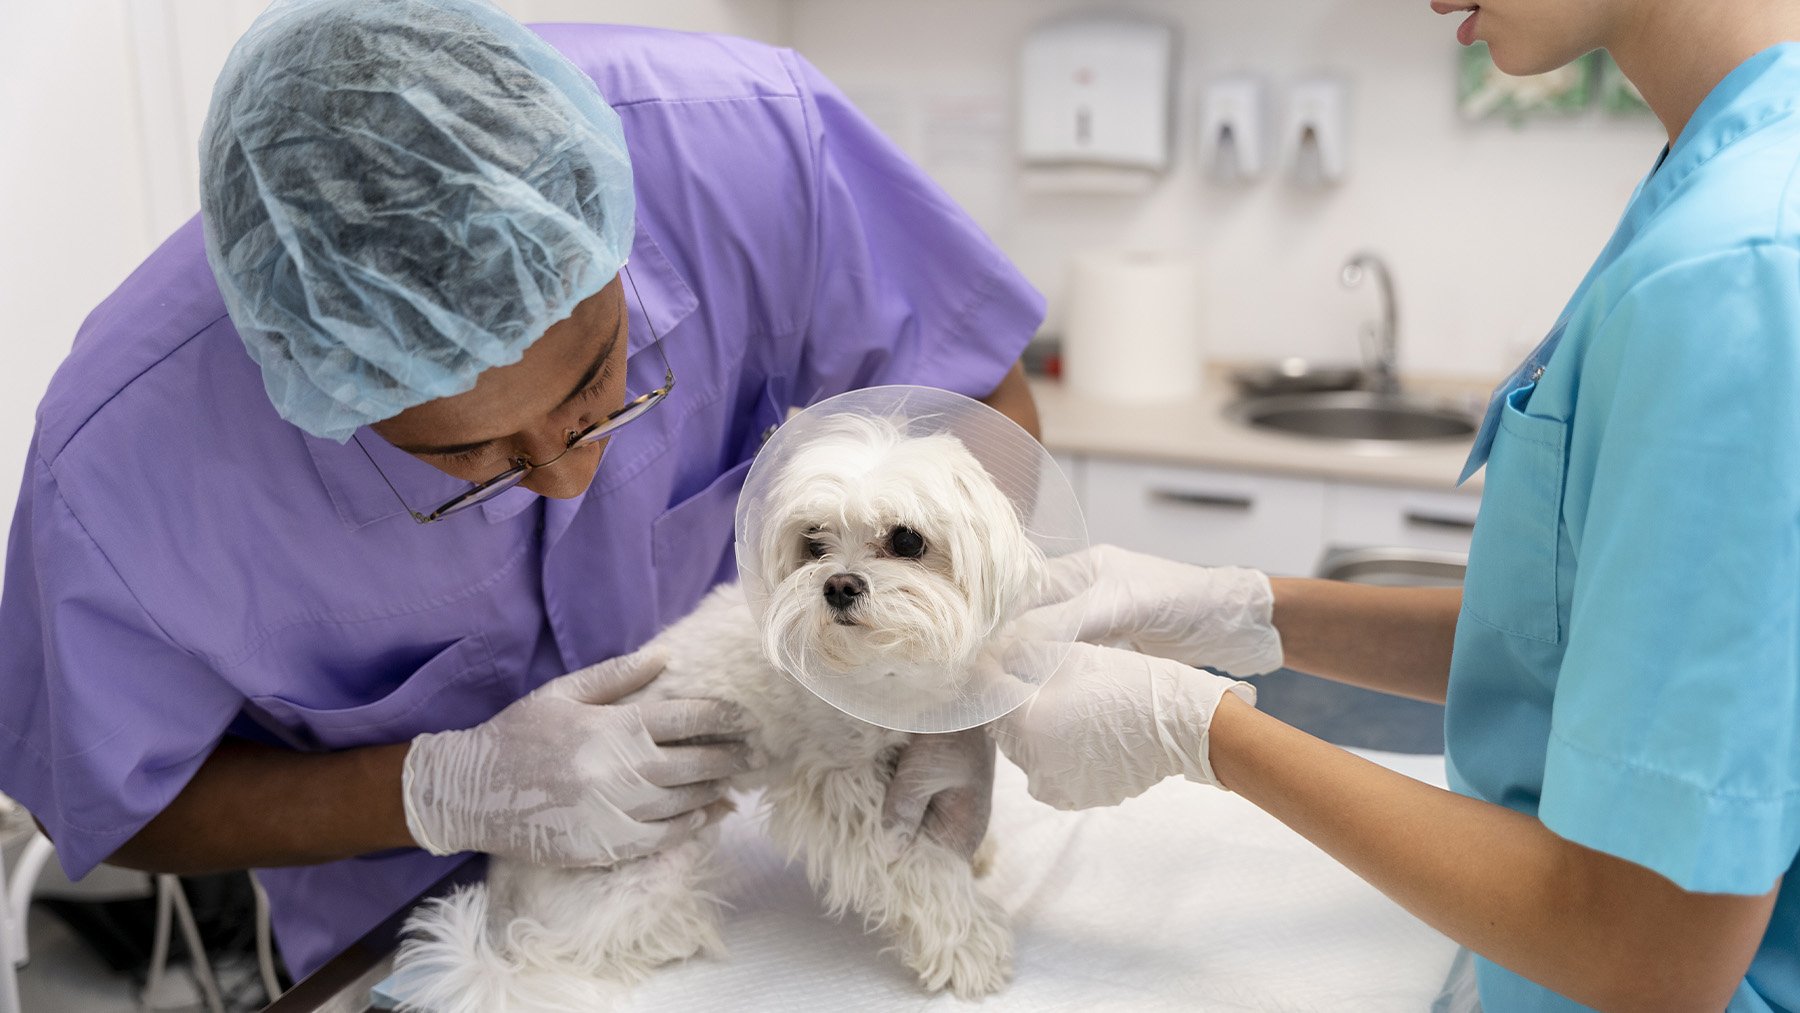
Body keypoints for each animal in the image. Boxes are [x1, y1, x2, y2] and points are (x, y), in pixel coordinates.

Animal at [394, 415, 1044, 1007]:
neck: (883, 671)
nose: (837, 585)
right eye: (813, 543)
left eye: (907, 540)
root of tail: (502, 905)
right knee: (588, 947)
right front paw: (971, 945)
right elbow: (915, 867)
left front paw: (972, 841)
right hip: (647, 871)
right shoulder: (837, 788)